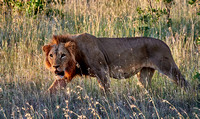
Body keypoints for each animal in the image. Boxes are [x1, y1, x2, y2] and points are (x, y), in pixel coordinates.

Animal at [42, 33, 189, 93]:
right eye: (51, 55)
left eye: (63, 55)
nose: (55, 67)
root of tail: (165, 43)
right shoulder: (64, 76)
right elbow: (52, 90)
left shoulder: (102, 71)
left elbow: (106, 91)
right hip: (144, 74)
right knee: (147, 87)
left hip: (168, 67)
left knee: (183, 82)